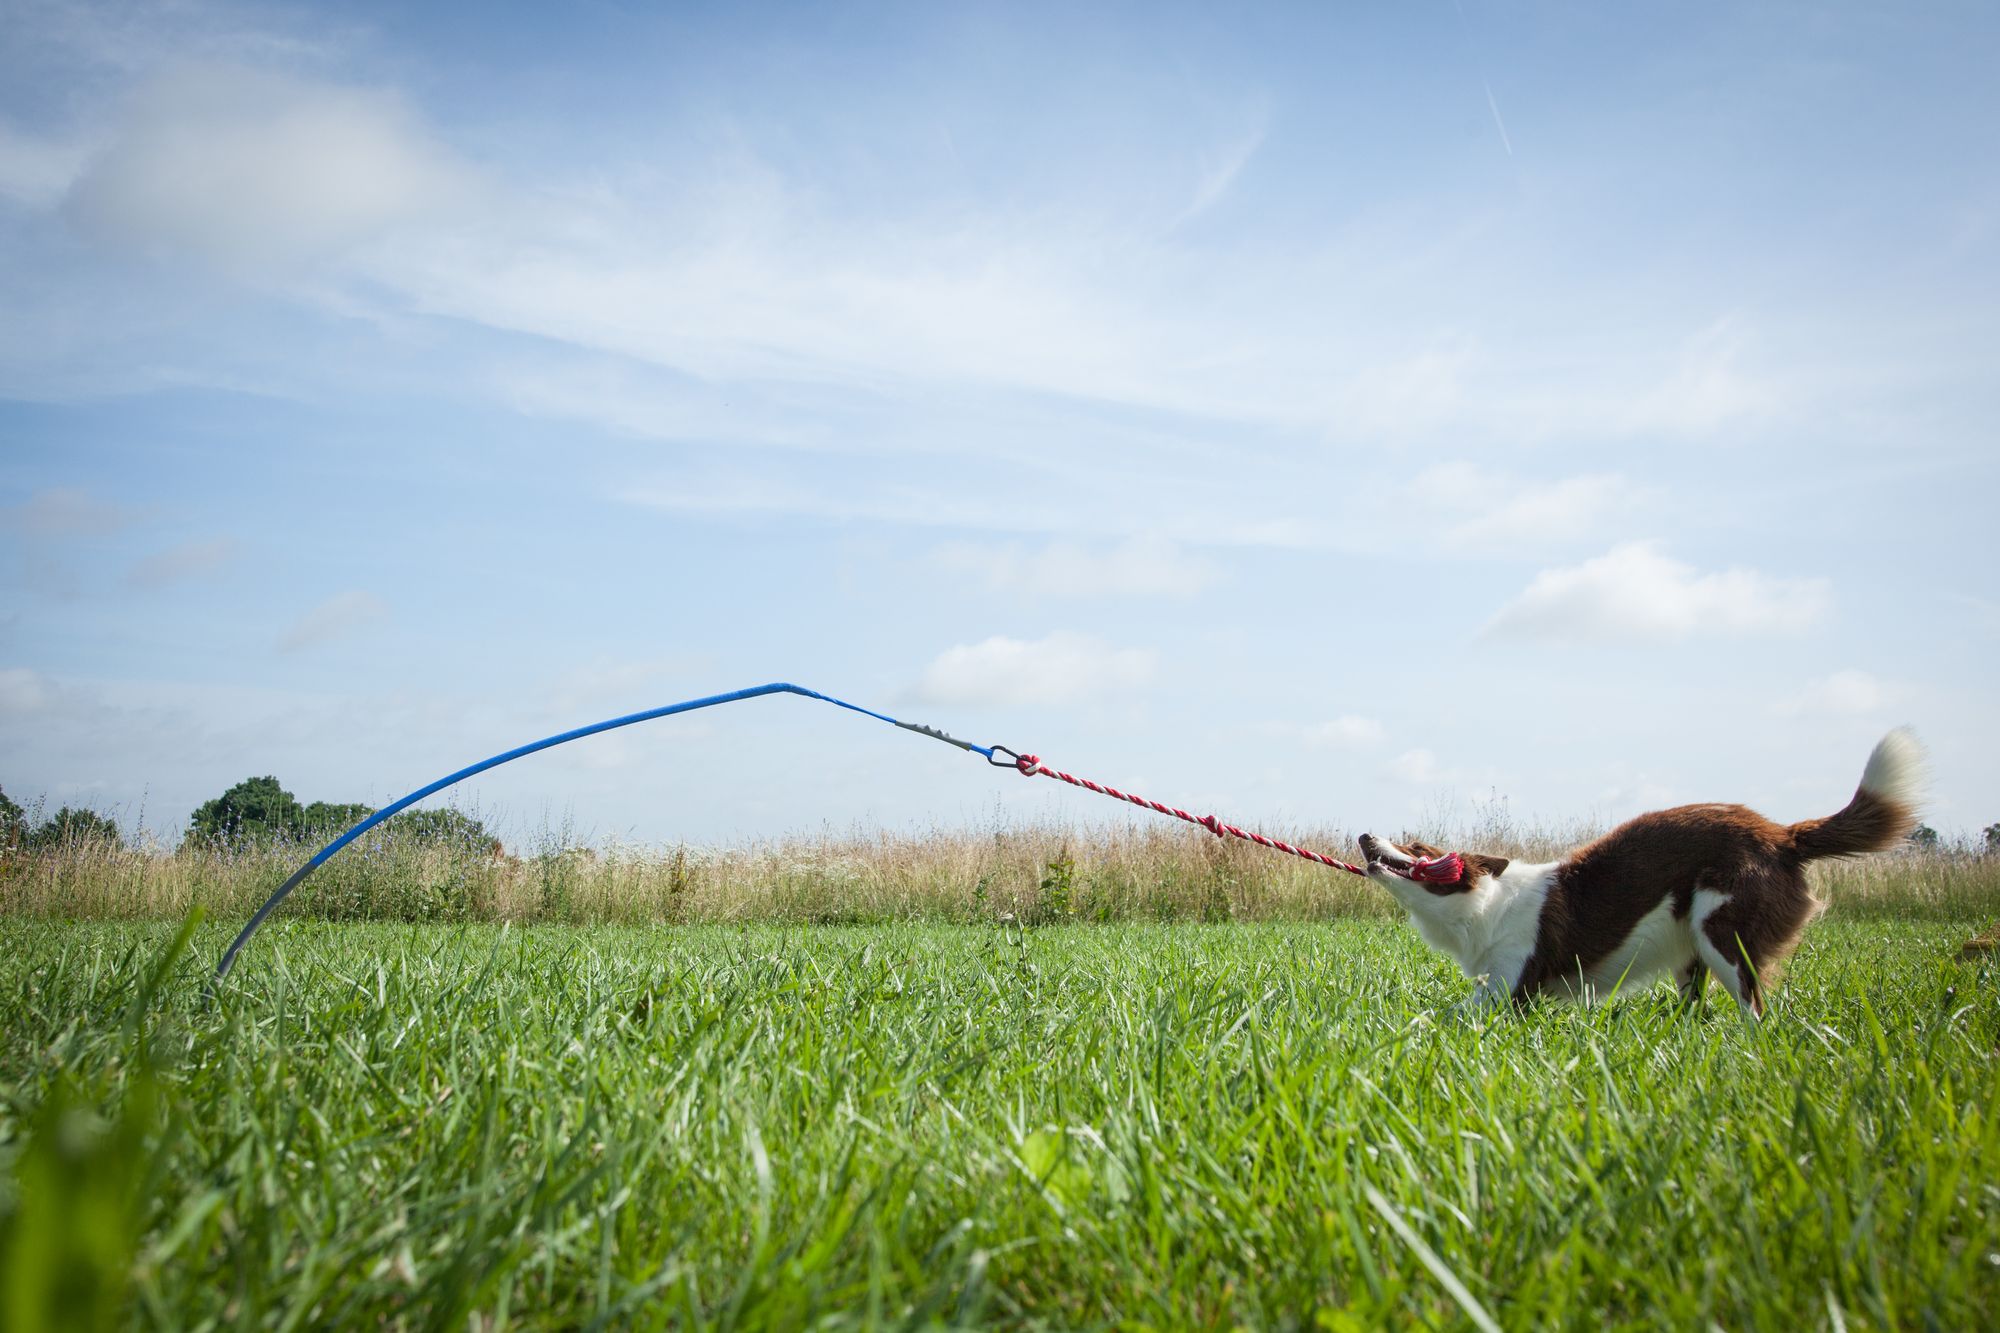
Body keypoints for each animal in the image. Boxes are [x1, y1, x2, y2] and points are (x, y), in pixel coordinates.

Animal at [1360, 732, 1920, 1012]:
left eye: (1416, 847)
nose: (1365, 836)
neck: (1485, 908)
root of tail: (1782, 835)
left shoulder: (1510, 989)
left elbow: (1444, 1017)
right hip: (1692, 949)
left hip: (1725, 932)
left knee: (1754, 1009)